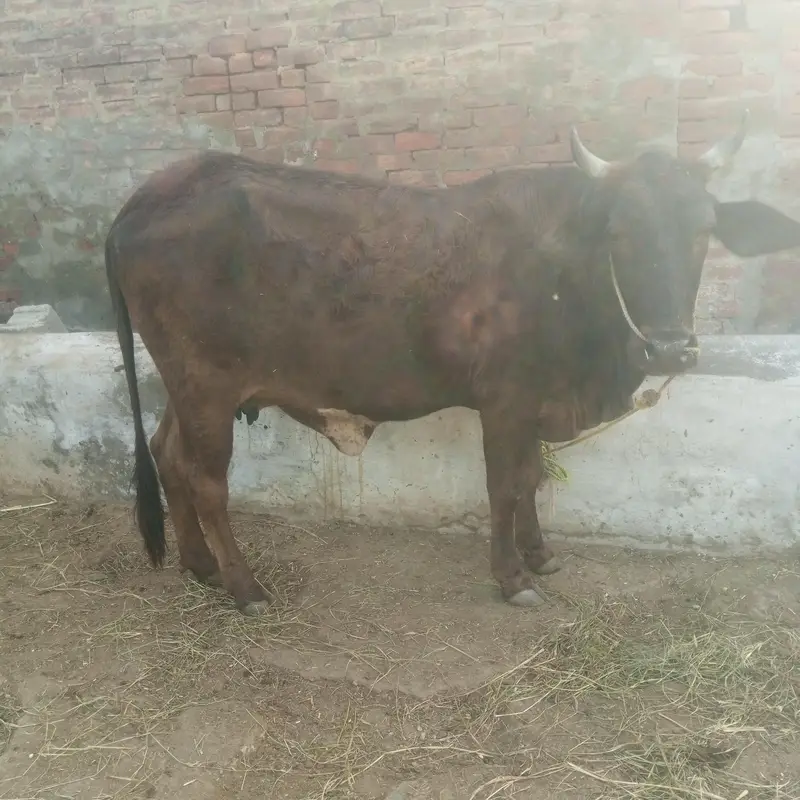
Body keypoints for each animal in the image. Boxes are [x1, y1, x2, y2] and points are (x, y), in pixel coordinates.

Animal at [105, 113, 800, 616]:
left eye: (704, 230)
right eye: (619, 233)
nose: (670, 350)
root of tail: (146, 196)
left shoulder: (532, 404)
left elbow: (531, 479)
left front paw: (540, 555)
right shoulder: (506, 400)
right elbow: (505, 485)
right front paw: (512, 576)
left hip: (187, 388)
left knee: (168, 456)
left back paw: (200, 566)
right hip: (206, 386)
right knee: (207, 481)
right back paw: (245, 587)